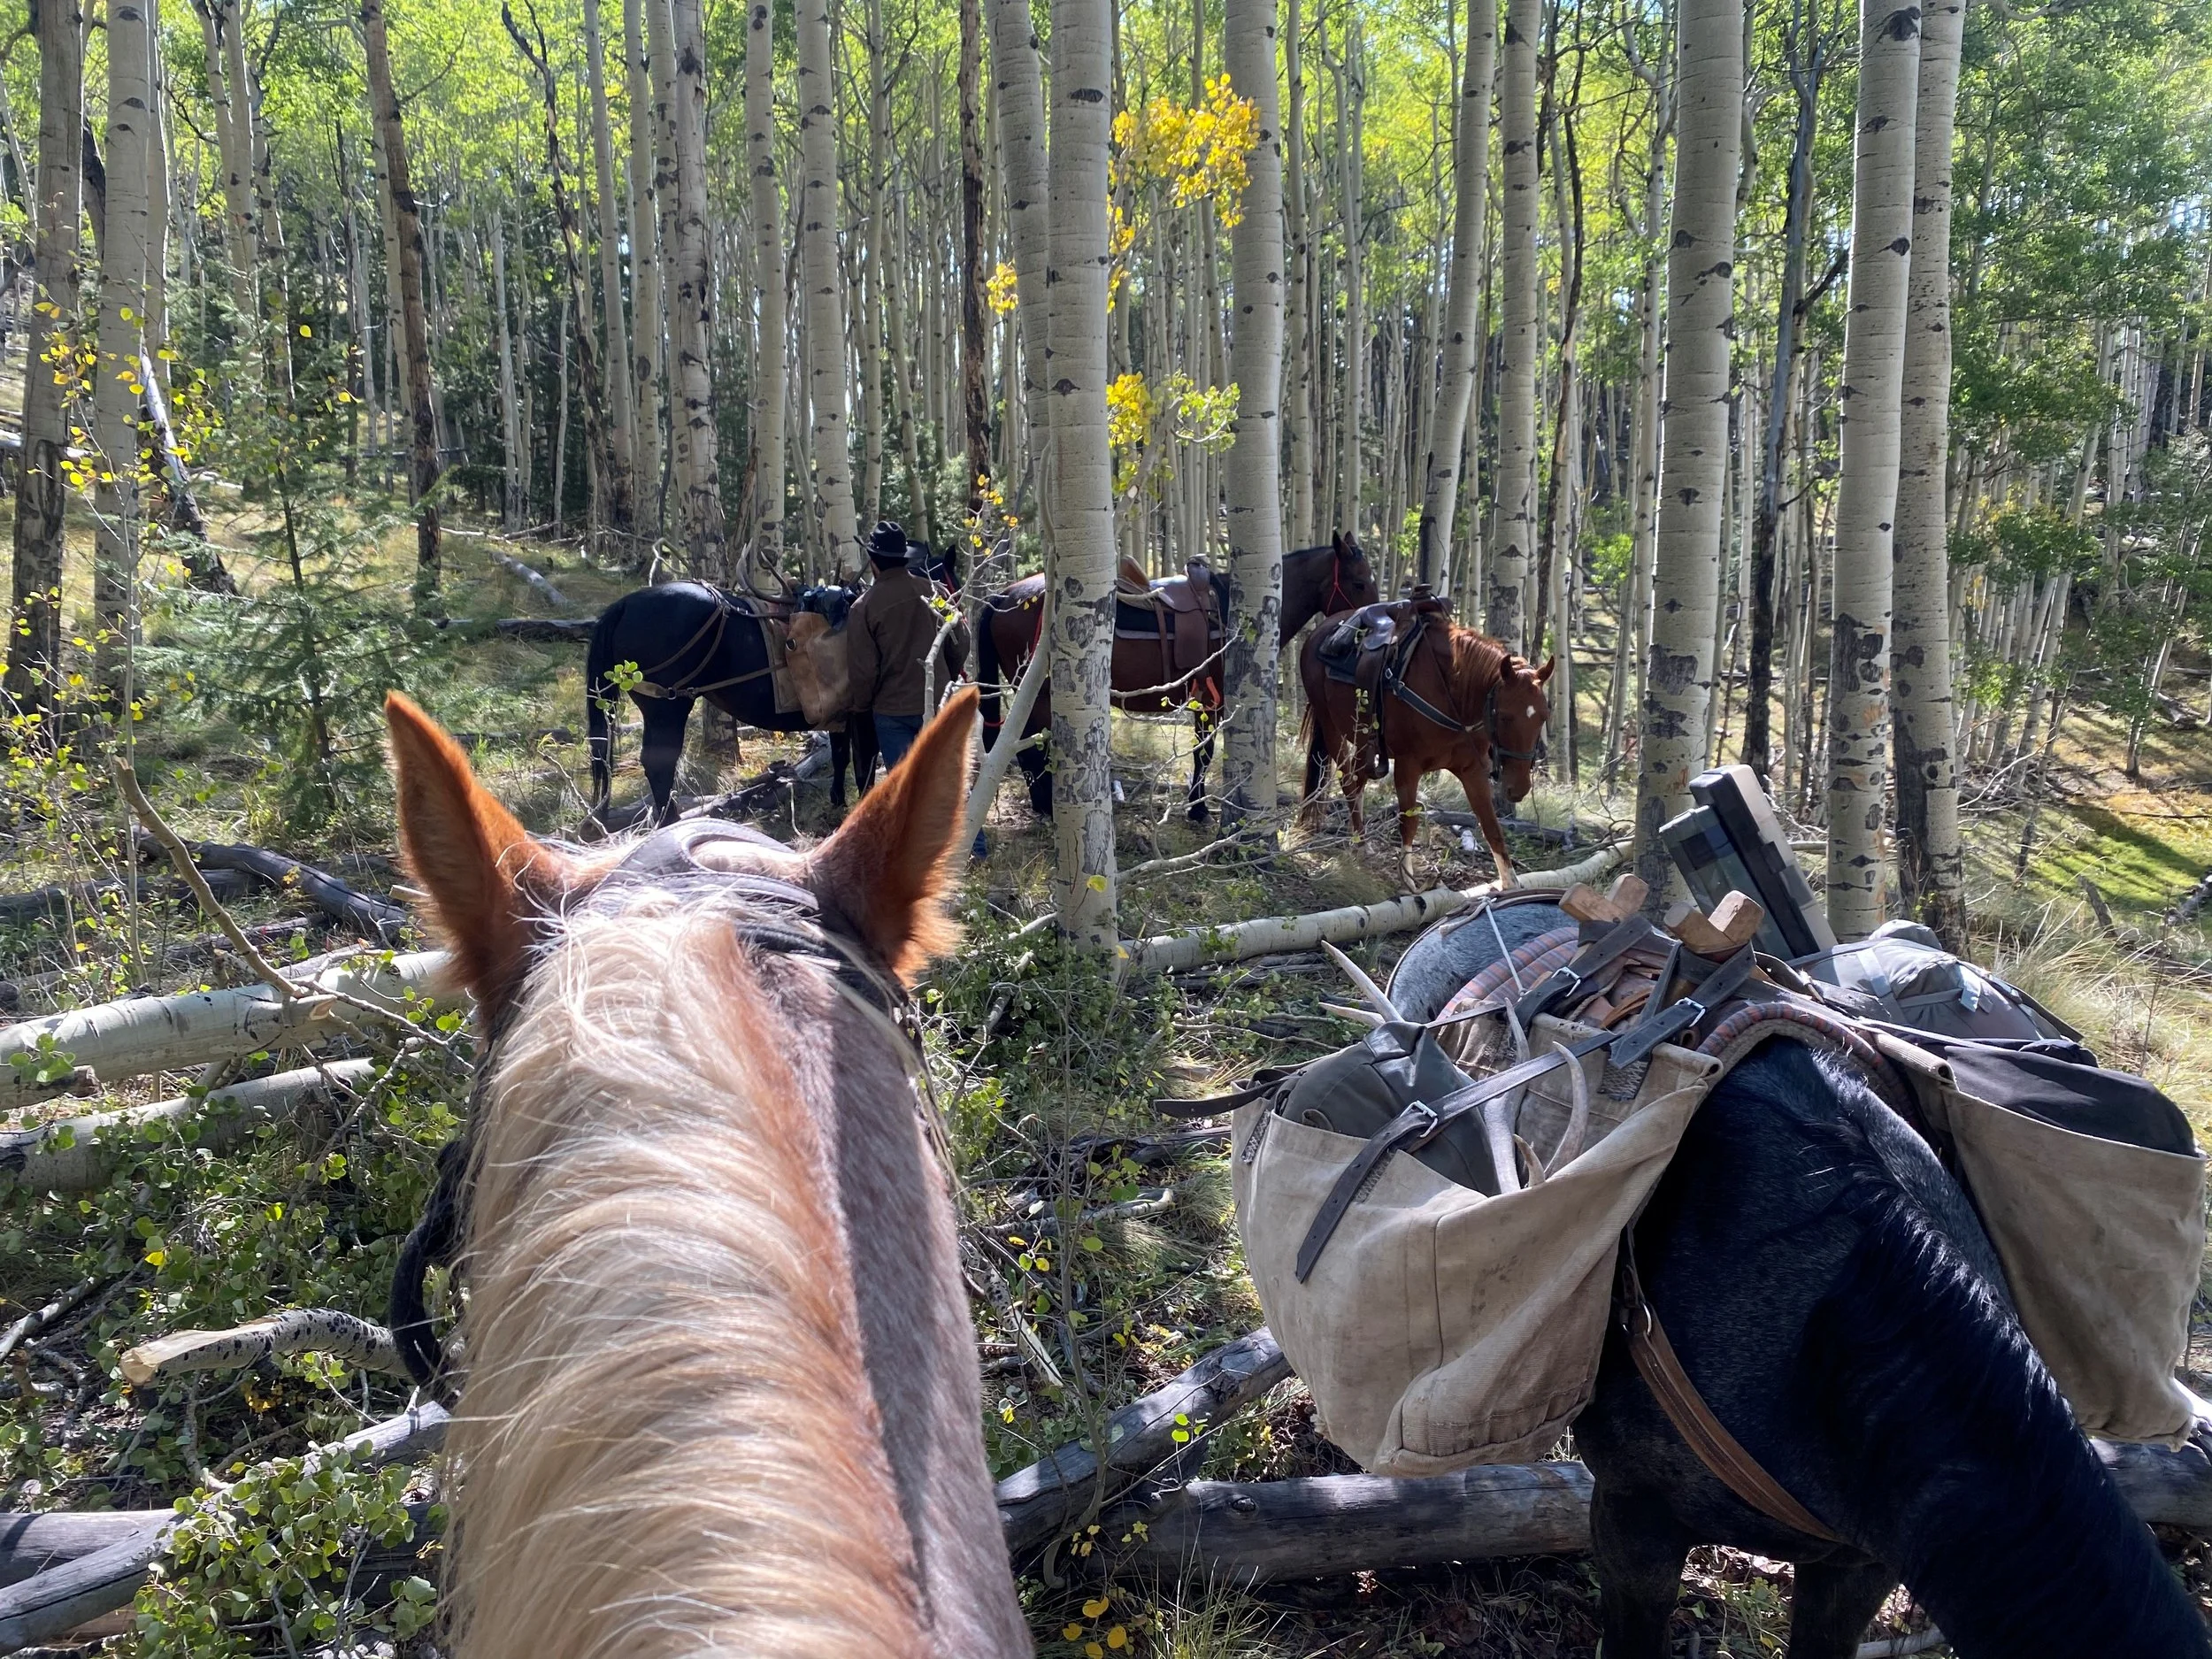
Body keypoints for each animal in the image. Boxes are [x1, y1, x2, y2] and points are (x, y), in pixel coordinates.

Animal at [975, 533, 1379, 821]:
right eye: (1359, 583)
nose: (1372, 622)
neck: (1231, 613)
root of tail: (1003, 596)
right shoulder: (1213, 700)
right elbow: (1204, 753)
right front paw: (1197, 810)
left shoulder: (1203, 701)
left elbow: (1202, 752)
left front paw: (1195, 806)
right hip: (1037, 693)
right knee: (1026, 745)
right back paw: (1044, 806)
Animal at [1296, 612, 1552, 890]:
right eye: (1504, 716)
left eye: (1544, 716)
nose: (1519, 788)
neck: (1452, 695)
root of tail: (1320, 631)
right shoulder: (1407, 766)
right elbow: (1409, 822)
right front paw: (1408, 880)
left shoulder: (1472, 770)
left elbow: (1491, 825)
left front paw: (1510, 883)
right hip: (1332, 728)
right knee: (1349, 781)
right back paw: (1361, 844)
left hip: (1364, 743)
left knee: (1358, 777)